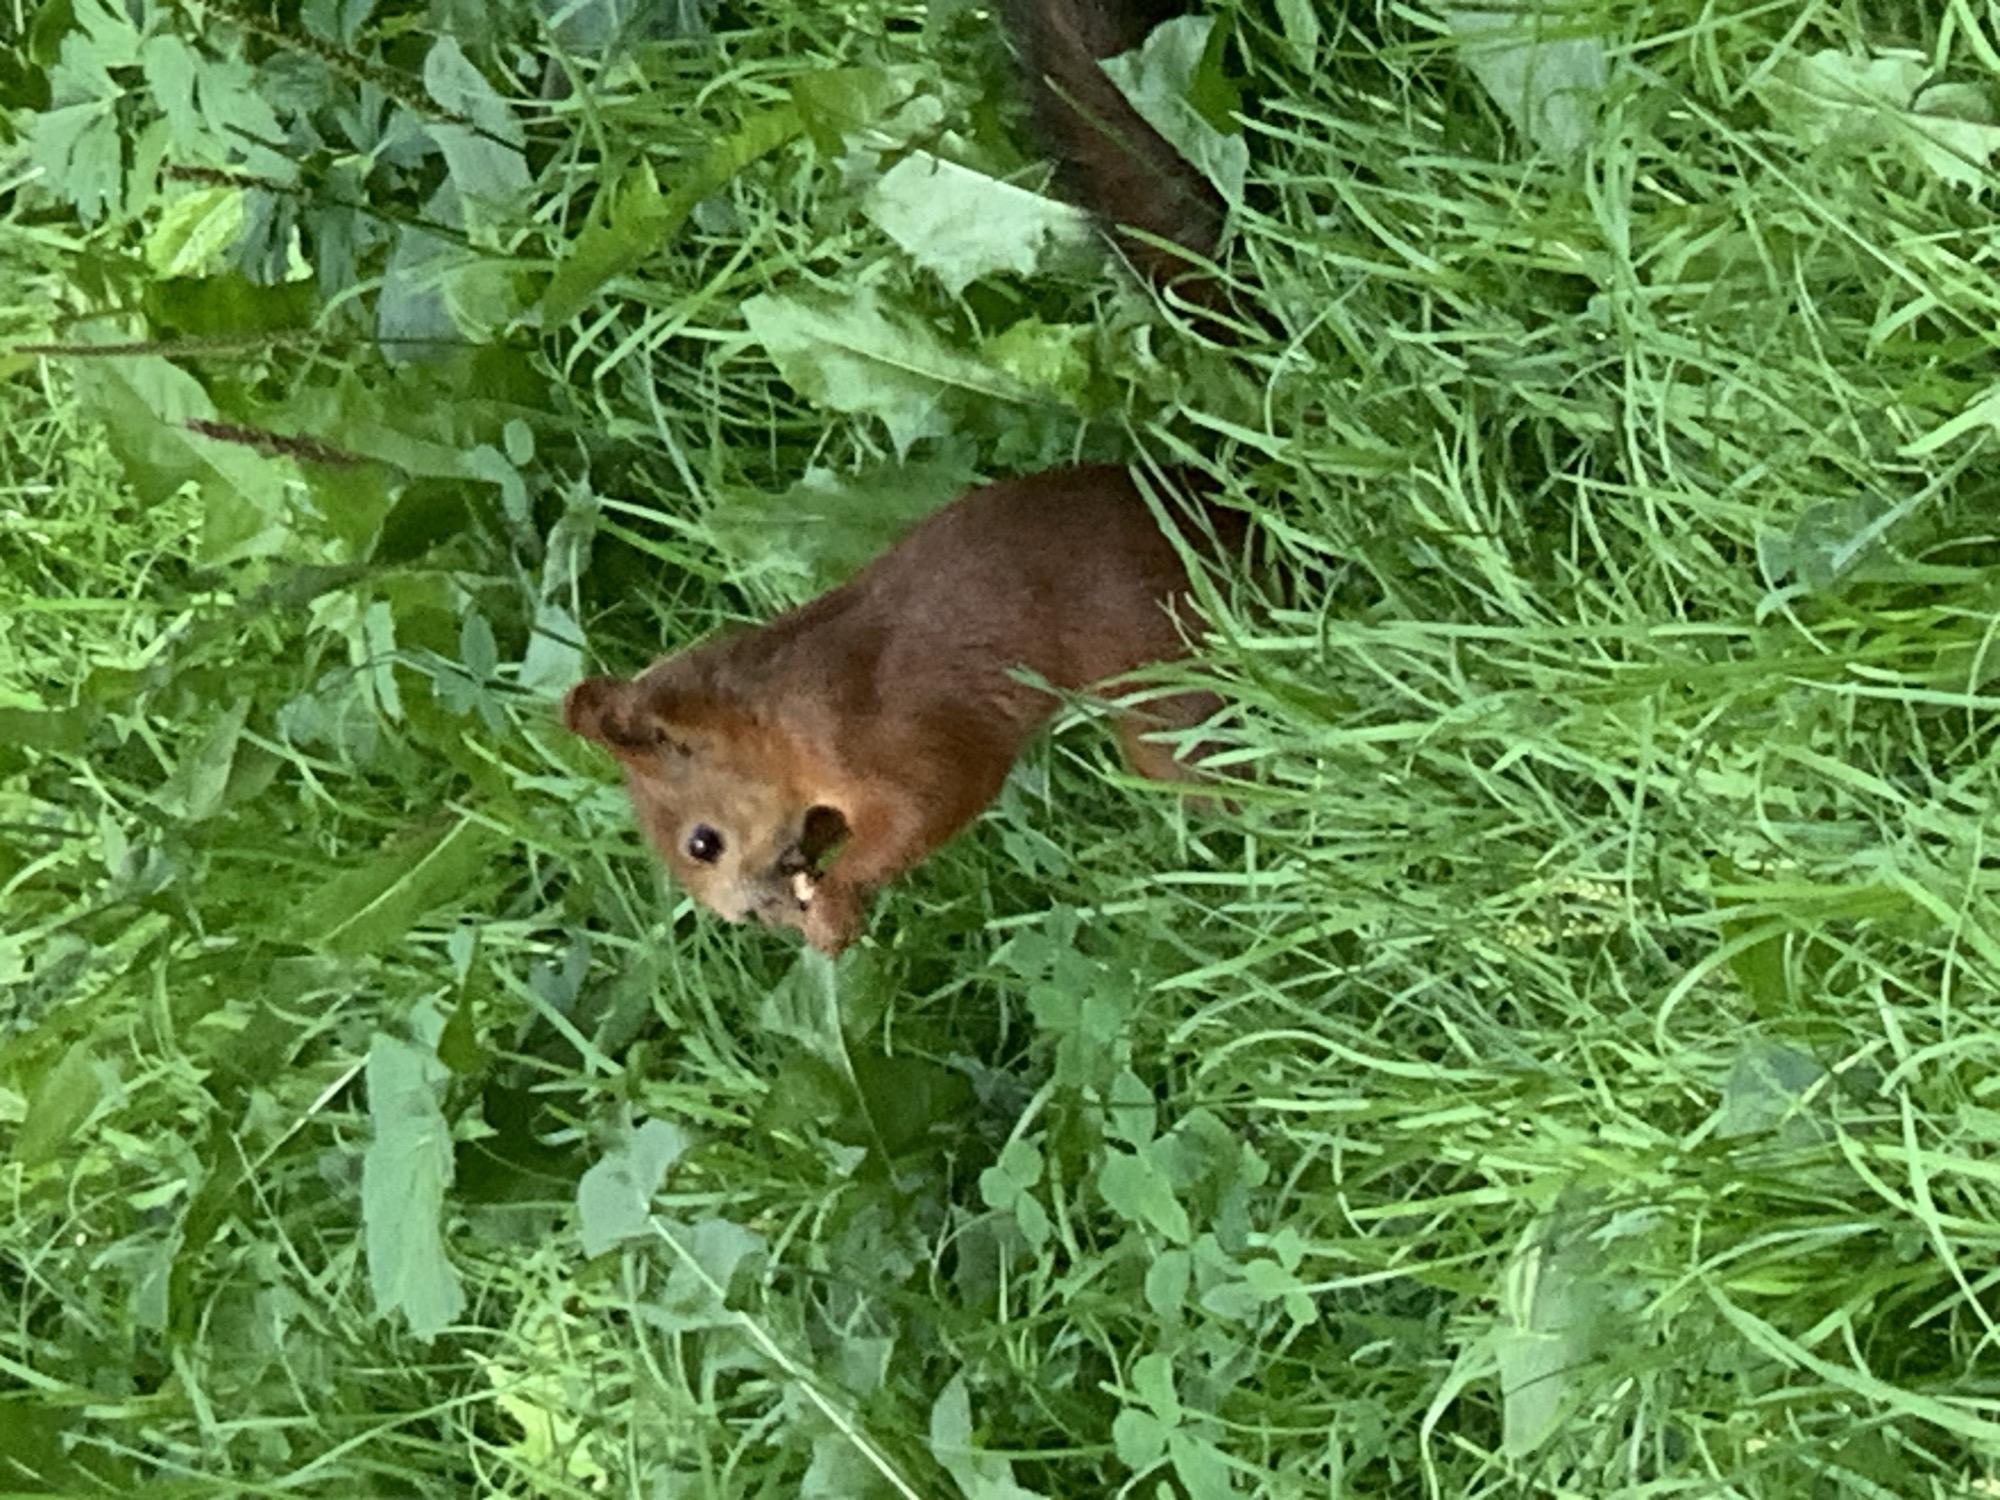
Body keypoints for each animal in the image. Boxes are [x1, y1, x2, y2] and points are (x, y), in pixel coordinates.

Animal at [566, 0, 1238, 955]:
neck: (779, 713)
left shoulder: (881, 722)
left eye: (702, 842)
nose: (743, 917)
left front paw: (837, 900)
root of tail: (1224, 498)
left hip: (1166, 688)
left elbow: (934, 794)